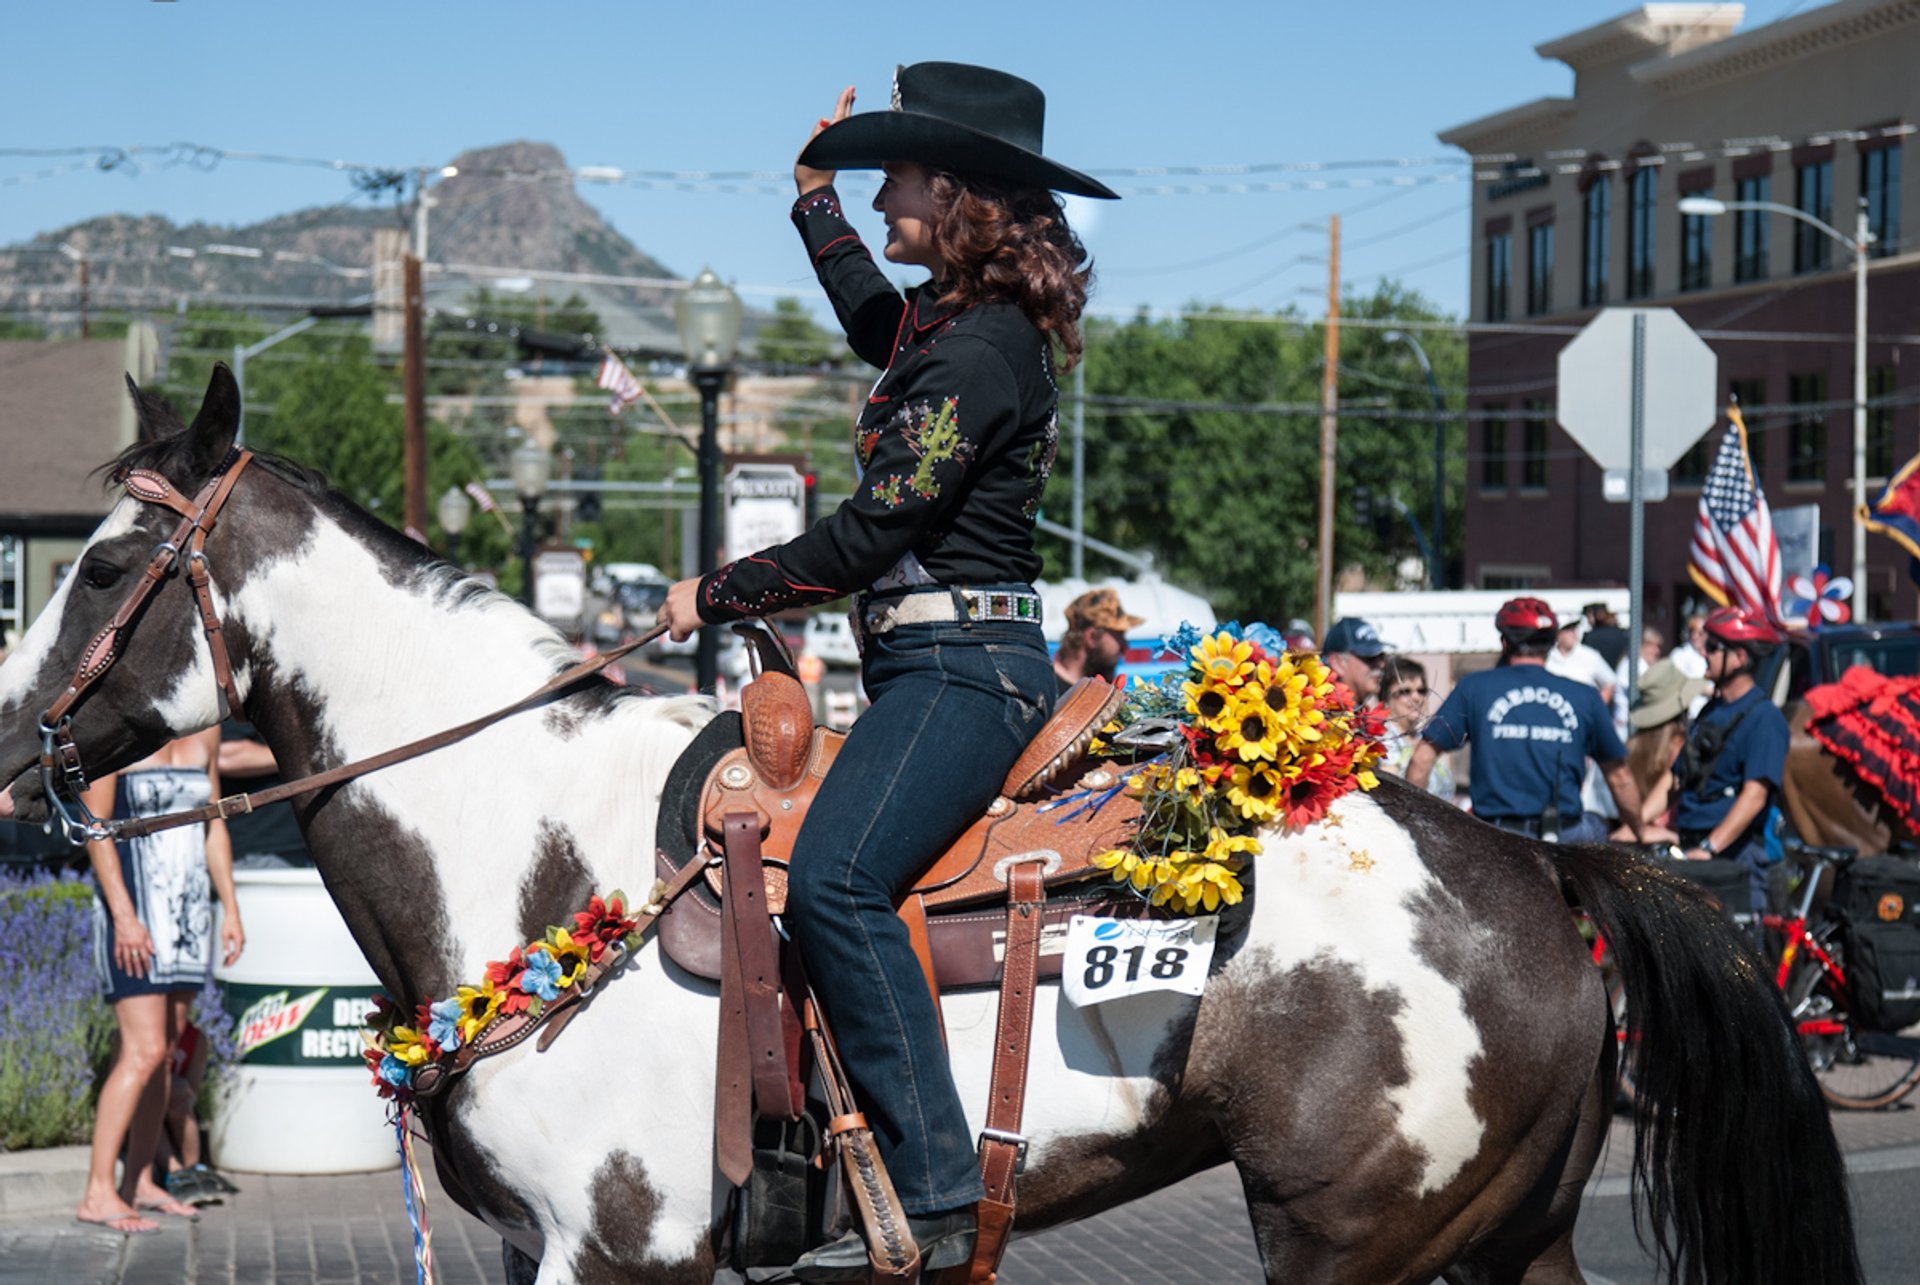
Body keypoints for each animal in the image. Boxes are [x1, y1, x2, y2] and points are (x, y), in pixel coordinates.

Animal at [0, 364, 1858, 1275]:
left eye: (100, 567)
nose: (15, 748)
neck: (525, 848)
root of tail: (1545, 862)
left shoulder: (625, 1253)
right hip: (1503, 1240)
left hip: (1354, 1244)